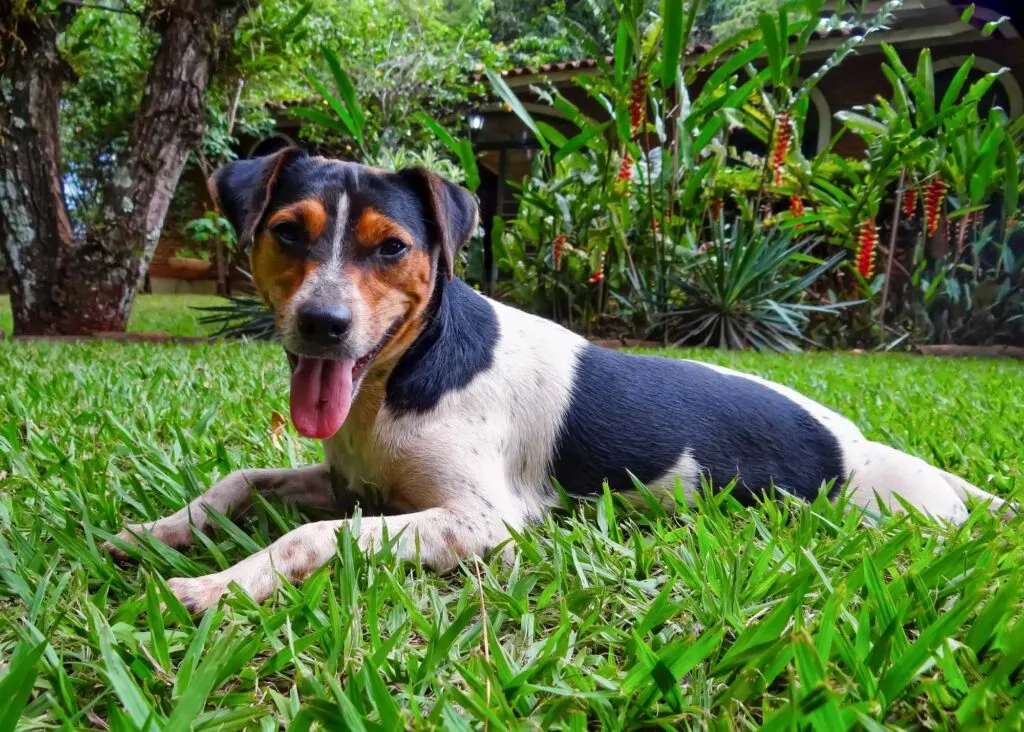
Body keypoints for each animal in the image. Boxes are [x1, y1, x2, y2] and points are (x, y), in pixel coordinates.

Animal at [105, 148, 1007, 614]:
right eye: (290, 233)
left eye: (391, 247)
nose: (323, 324)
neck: (407, 374)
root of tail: (865, 446)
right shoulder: (350, 480)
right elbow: (243, 480)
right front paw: (159, 531)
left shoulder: (482, 522)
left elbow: (312, 537)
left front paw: (220, 583)